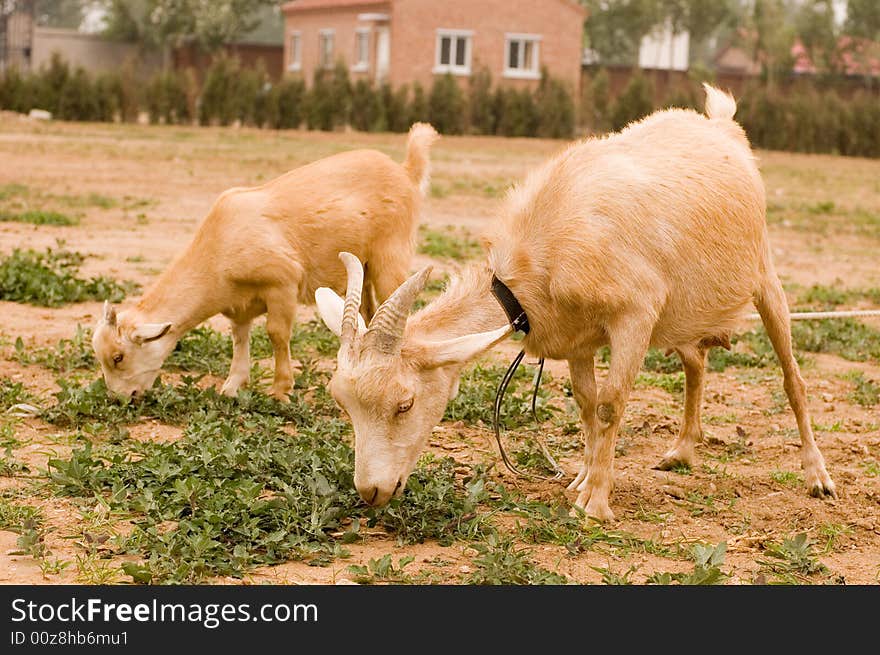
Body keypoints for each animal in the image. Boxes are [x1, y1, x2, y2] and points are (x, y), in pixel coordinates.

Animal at [94, 122, 438, 400]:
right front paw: (233, 386)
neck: (219, 248)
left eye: (118, 357)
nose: (120, 399)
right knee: (369, 310)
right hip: (363, 266)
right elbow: (239, 338)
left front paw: (281, 390)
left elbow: (276, 333)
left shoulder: (282, 282)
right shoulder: (237, 303)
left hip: (390, 254)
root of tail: (405, 170)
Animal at [316, 87, 832, 520]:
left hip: (764, 275)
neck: (543, 252)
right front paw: (582, 478)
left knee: (794, 380)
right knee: (696, 365)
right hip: (689, 312)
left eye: (404, 404)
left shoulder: (635, 315)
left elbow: (610, 404)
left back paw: (817, 477)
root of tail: (721, 124)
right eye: (341, 400)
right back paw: (682, 451)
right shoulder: (577, 338)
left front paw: (595, 503)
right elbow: (586, 403)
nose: (371, 492)